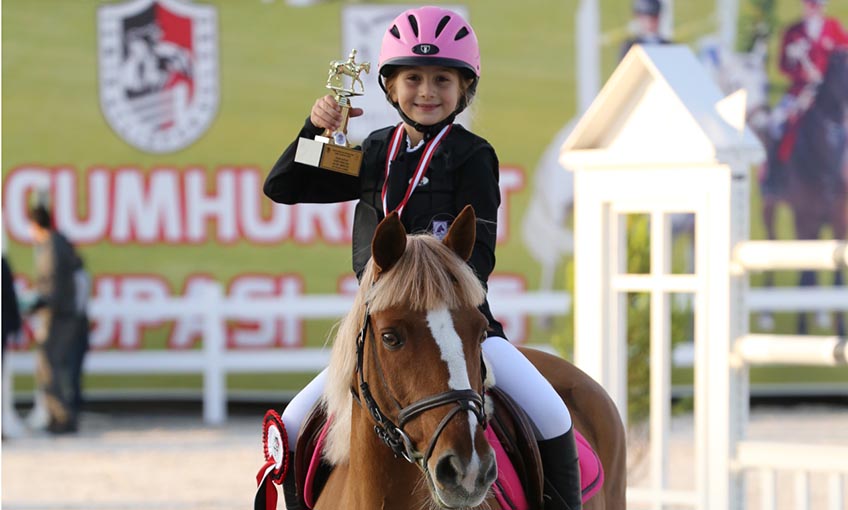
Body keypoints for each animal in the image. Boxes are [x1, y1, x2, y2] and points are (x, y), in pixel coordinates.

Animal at [763, 49, 848, 336]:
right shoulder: (803, 218)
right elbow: (805, 271)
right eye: (837, 69)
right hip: (771, 208)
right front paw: (801, 328)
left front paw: (840, 329)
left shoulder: (839, 220)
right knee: (772, 243)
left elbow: (836, 278)